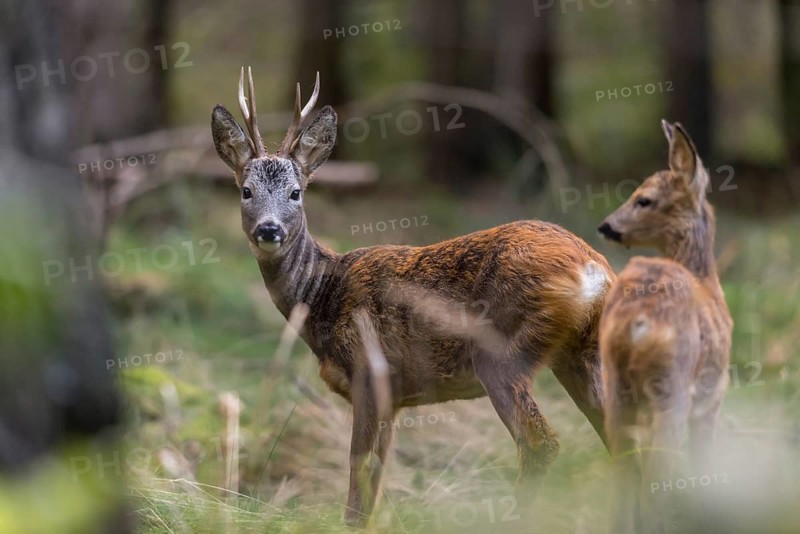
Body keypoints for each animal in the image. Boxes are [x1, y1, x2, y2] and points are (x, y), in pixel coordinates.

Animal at [211, 67, 616, 526]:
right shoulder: (396, 397)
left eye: (296, 193)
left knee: (540, 443)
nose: (269, 229)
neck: (325, 293)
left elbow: (359, 470)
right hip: (580, 353)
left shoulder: (371, 371)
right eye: (246, 190)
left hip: (501, 354)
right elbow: (377, 476)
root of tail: (592, 269)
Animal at [597, 120, 733, 533]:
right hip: (671, 388)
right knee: (659, 473)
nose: (606, 226)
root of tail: (635, 323)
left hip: (615, 387)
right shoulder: (713, 395)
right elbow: (705, 459)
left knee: (623, 471)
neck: (705, 278)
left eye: (643, 200)